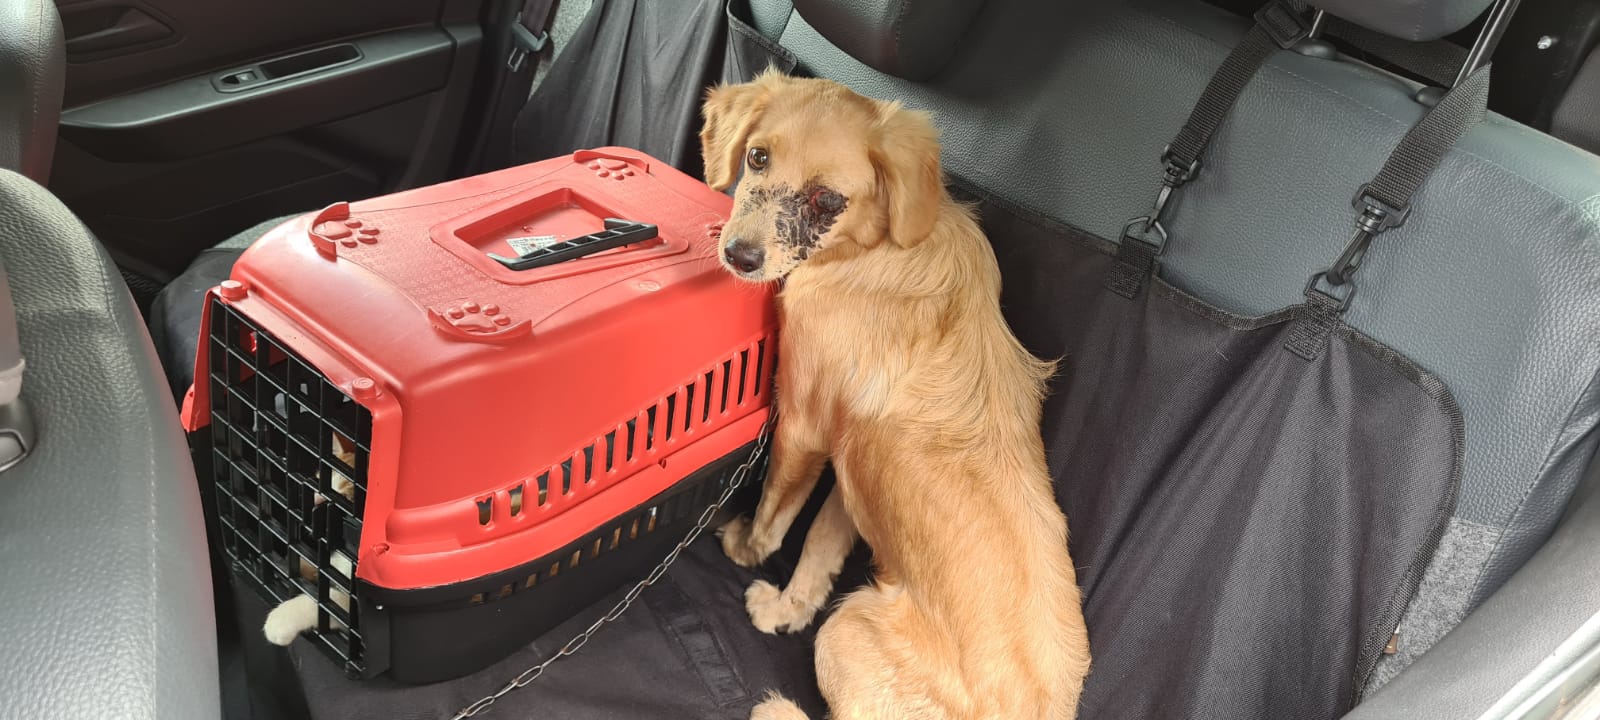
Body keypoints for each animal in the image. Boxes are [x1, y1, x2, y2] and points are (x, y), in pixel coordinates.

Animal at [707, 68, 1094, 720]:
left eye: (826, 199)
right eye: (757, 157)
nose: (739, 255)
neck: (876, 248)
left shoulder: (802, 426)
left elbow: (775, 514)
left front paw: (745, 550)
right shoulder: (851, 471)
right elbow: (819, 548)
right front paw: (788, 608)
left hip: (847, 629)